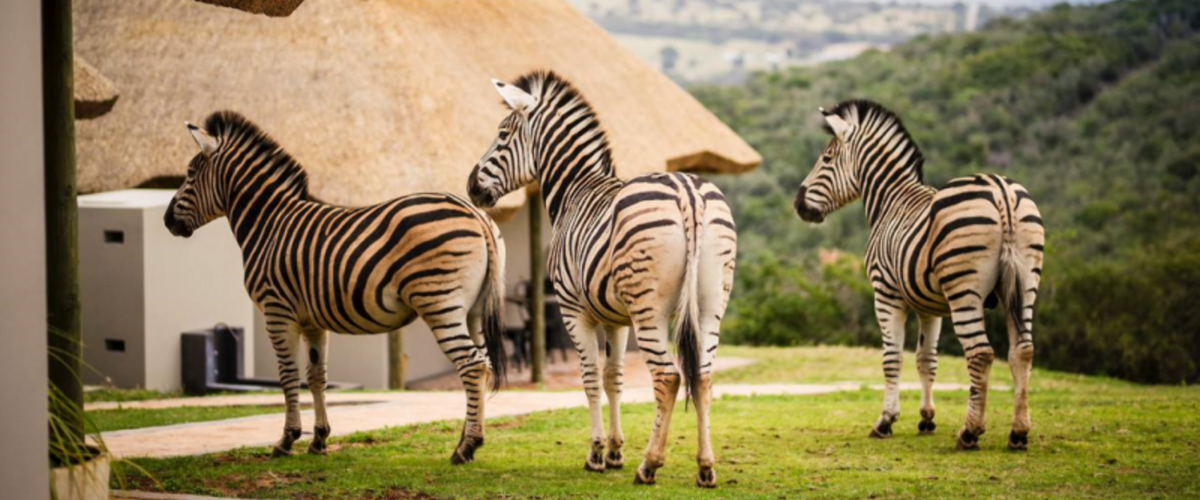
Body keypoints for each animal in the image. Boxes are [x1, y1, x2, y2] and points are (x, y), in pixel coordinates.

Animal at [163, 110, 506, 462]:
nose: (166, 220)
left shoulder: (277, 311)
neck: (269, 224)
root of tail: (475, 213)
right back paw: (469, 439)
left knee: (471, 365)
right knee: (483, 363)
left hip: (439, 303)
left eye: (190, 173)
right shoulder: (312, 321)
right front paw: (318, 439)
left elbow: (288, 376)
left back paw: (466, 447)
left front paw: (286, 440)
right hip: (473, 310)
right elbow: (317, 377)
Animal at [465, 68, 729, 484]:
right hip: (710, 304)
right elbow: (614, 379)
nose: (471, 187)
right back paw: (705, 468)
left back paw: (649, 465)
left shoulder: (574, 311)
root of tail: (688, 192)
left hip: (650, 311)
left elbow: (590, 378)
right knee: (702, 377)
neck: (575, 192)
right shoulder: (615, 320)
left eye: (503, 133)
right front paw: (616, 451)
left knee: (668, 378)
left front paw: (596, 453)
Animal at [796, 99, 1041, 450]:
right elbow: (927, 359)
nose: (798, 205)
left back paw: (970, 432)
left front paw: (885, 421)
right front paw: (927, 419)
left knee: (981, 354)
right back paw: (1019, 432)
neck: (890, 201)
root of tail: (1001, 191)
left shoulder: (885, 294)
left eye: (826, 158)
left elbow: (892, 357)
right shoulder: (931, 306)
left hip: (964, 290)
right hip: (1025, 285)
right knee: (1022, 351)